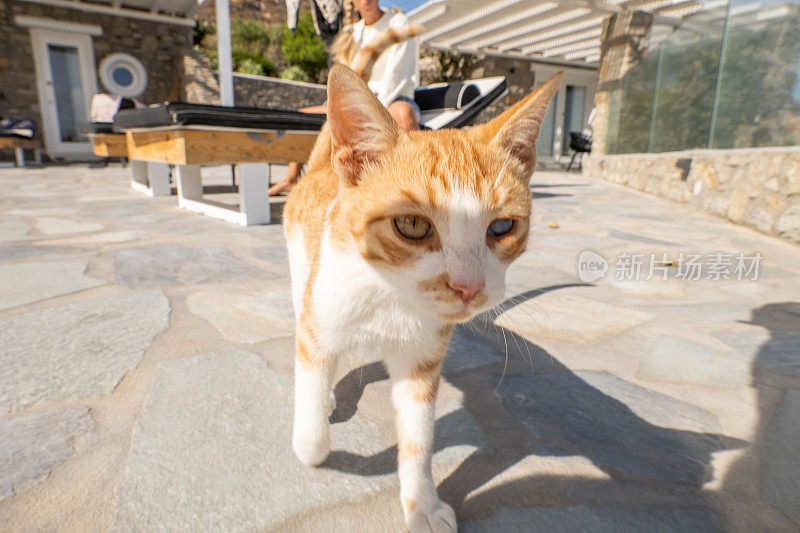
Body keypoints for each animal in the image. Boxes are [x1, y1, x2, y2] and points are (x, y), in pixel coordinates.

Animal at [284, 65, 560, 528]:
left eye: (502, 227)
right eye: (412, 225)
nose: (469, 287)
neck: (390, 295)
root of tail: (321, 172)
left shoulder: (422, 358)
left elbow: (419, 438)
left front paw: (422, 505)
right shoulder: (316, 323)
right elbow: (312, 387)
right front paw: (311, 442)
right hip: (301, 271)